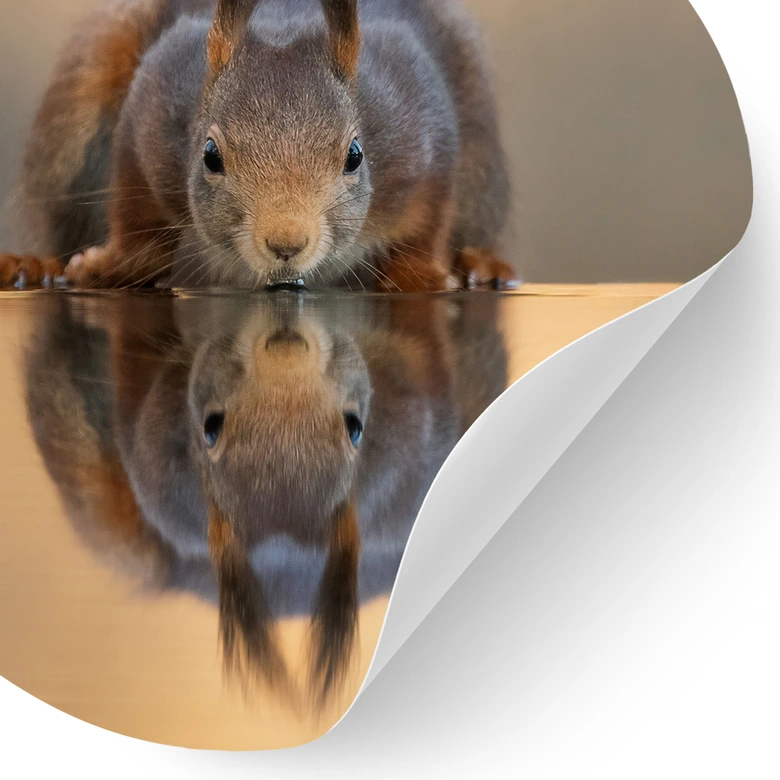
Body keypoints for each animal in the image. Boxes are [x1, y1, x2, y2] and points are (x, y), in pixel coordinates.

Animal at [1, 0, 518, 292]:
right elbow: (138, 218)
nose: (286, 243)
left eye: (354, 156)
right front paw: (112, 266)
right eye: (210, 156)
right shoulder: (152, 110)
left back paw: (483, 265)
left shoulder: (422, 130)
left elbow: (428, 221)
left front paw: (422, 276)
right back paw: (34, 265)